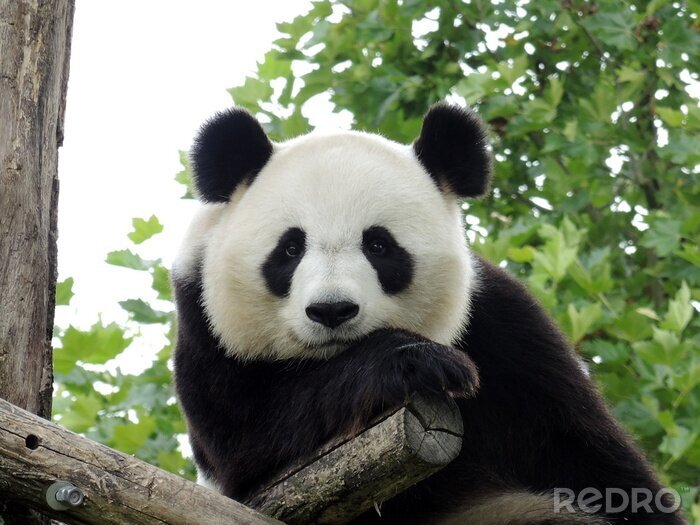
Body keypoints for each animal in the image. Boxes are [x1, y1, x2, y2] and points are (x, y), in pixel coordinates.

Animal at [172, 103, 685, 525]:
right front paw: (415, 361)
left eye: (380, 246)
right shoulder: (204, 325)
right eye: (290, 248)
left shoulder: (507, 333)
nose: (332, 310)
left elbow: (586, 456)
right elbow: (249, 435)